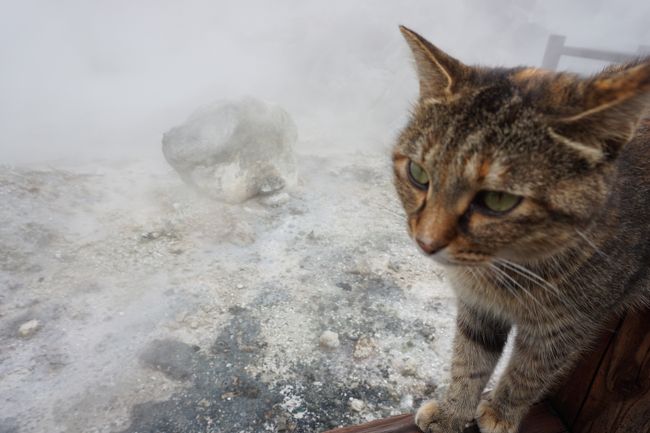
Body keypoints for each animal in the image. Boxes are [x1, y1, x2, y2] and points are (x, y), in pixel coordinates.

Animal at [390, 26, 648, 432]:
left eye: (497, 200)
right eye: (418, 173)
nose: (426, 242)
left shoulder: (567, 325)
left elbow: (530, 372)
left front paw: (500, 413)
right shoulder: (478, 309)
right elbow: (469, 361)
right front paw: (452, 413)